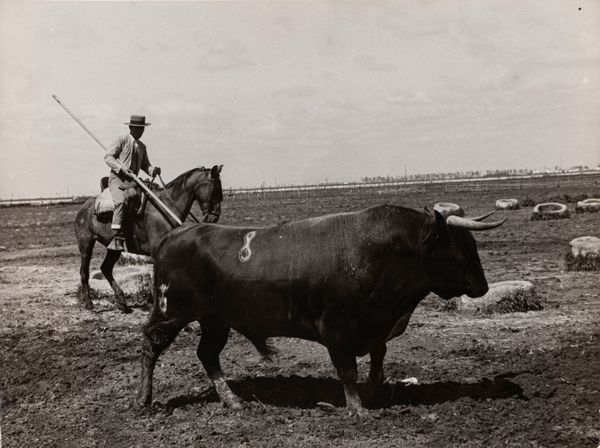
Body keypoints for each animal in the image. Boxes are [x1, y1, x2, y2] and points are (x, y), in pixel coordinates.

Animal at [74, 164, 223, 312]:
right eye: (215, 189)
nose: (214, 218)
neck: (165, 208)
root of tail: (84, 207)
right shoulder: (157, 251)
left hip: (113, 249)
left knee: (106, 268)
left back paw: (122, 301)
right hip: (86, 244)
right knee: (84, 273)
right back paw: (89, 303)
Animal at [136, 205, 506, 412]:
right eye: (458, 246)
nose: (483, 286)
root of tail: (174, 235)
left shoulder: (374, 328)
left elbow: (378, 357)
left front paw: (374, 392)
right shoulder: (336, 329)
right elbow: (347, 370)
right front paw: (356, 408)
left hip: (216, 319)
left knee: (208, 354)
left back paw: (233, 400)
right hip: (172, 311)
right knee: (151, 344)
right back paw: (144, 399)